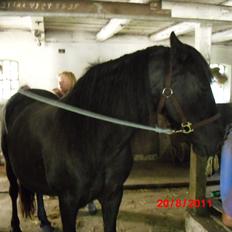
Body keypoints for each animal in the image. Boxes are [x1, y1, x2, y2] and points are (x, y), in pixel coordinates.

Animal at [0, 33, 222, 232]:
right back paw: (15, 225)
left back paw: (45, 221)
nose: (218, 139)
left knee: (37, 191)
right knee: (13, 191)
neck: (91, 138)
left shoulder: (113, 197)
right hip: (11, 167)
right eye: (202, 86)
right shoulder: (68, 203)